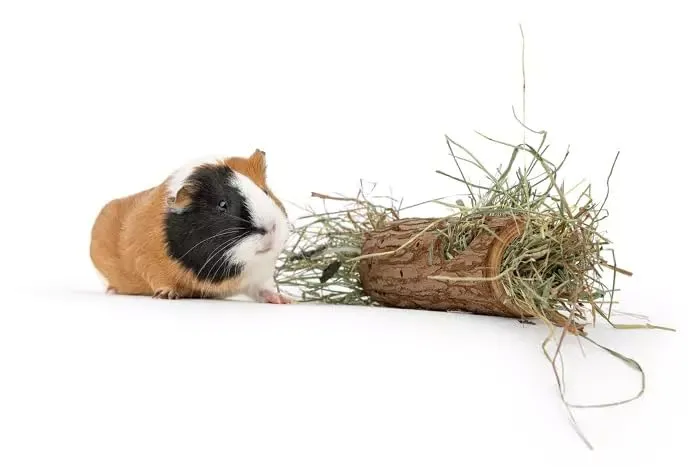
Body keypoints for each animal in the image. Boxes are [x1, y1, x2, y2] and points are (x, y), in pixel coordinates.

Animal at [89, 149, 293, 304]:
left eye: (265, 192)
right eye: (222, 205)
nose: (271, 227)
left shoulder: (256, 278)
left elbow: (262, 289)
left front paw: (284, 299)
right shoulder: (146, 259)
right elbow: (161, 280)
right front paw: (167, 295)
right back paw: (112, 291)